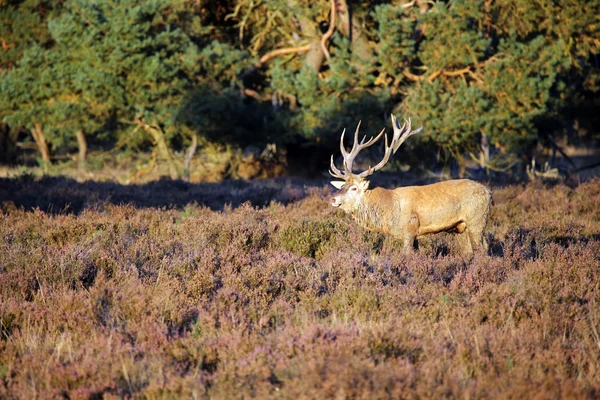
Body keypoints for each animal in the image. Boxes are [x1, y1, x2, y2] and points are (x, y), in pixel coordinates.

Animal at [328, 115, 492, 256]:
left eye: (354, 188)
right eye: (341, 187)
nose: (333, 199)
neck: (389, 209)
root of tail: (489, 193)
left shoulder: (409, 229)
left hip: (477, 220)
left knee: (482, 247)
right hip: (462, 227)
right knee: (471, 249)